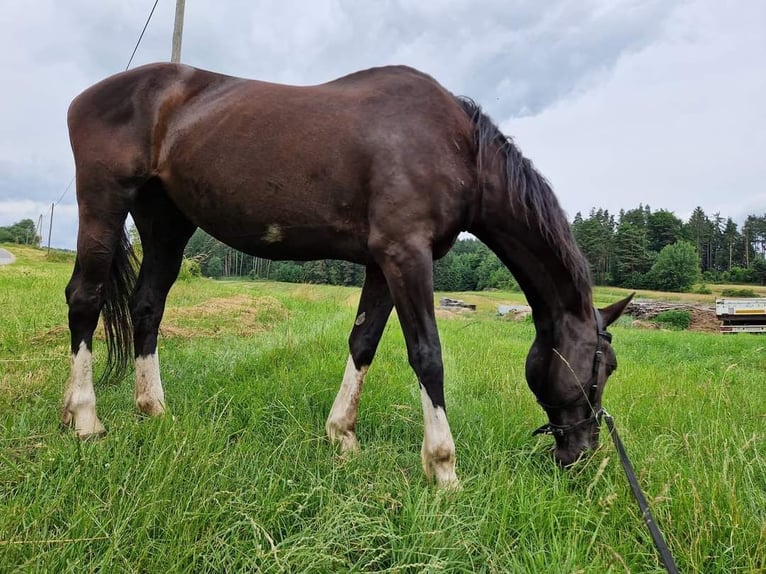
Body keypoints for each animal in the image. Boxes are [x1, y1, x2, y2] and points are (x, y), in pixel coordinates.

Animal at [63, 63, 632, 488]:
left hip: (167, 224)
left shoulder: (384, 262)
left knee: (147, 305)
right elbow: (427, 355)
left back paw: (151, 408)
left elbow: (364, 342)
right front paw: (443, 468)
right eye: (603, 368)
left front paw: (342, 436)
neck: (458, 147)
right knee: (84, 299)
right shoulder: (407, 254)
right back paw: (85, 418)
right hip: (104, 204)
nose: (582, 455)